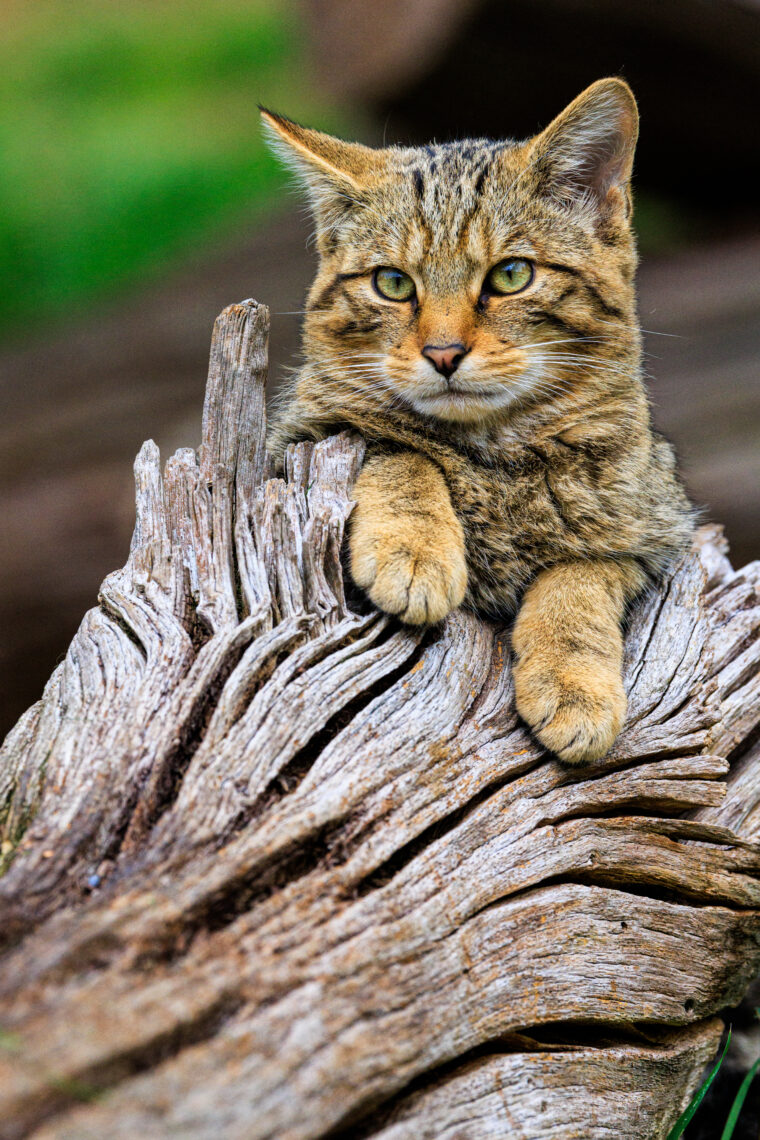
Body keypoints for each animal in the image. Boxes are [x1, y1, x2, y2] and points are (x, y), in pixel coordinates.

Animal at [262, 80, 697, 766]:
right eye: (393, 283)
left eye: (511, 275)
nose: (442, 354)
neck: (494, 451)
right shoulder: (295, 441)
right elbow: (397, 449)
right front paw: (414, 548)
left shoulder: (655, 530)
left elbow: (579, 578)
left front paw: (574, 683)